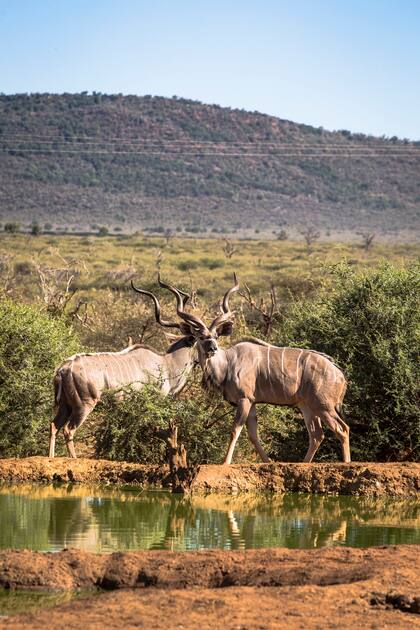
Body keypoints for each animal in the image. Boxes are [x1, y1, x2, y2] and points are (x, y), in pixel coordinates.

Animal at [48, 286, 197, 460]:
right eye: (203, 338)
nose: (213, 349)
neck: (166, 363)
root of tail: (63, 369)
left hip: (65, 406)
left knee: (53, 426)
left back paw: (50, 457)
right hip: (83, 406)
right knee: (68, 430)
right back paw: (74, 458)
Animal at [158, 276, 352, 464]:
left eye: (215, 336)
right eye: (200, 336)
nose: (213, 348)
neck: (227, 363)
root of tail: (340, 375)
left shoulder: (244, 399)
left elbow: (235, 430)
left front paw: (225, 462)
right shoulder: (251, 402)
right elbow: (253, 435)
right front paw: (268, 462)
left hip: (323, 405)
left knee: (342, 429)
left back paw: (346, 462)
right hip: (307, 406)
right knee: (317, 434)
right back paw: (305, 463)